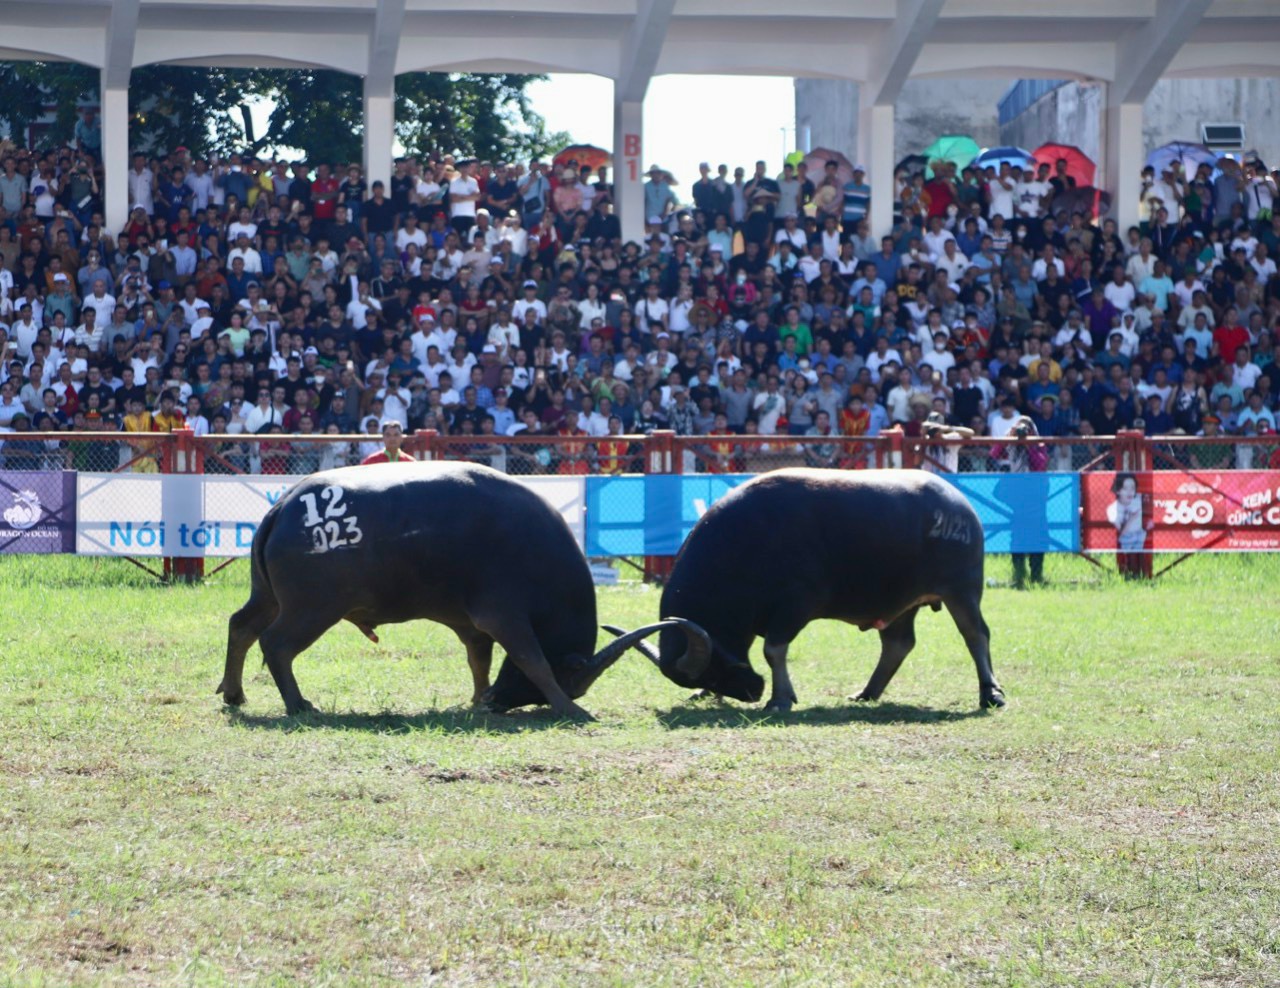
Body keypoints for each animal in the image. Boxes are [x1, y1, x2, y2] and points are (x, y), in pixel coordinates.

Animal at [224, 458, 696, 721]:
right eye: (572, 679)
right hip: (312, 609)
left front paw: (476, 698)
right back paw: (297, 703)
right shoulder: (505, 617)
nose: (499, 702)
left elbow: (478, 661)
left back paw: (234, 693)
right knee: (276, 644)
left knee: (242, 625)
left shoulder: (472, 625)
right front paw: (569, 708)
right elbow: (534, 660)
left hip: (268, 598)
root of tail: (285, 506)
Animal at [611, 468, 1008, 711]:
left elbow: (774, 650)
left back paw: (991, 693)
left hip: (962, 591)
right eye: (709, 673)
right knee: (898, 644)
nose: (752, 691)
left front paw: (779, 699)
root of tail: (960, 504)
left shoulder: (795, 606)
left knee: (976, 635)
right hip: (900, 603)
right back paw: (867, 693)